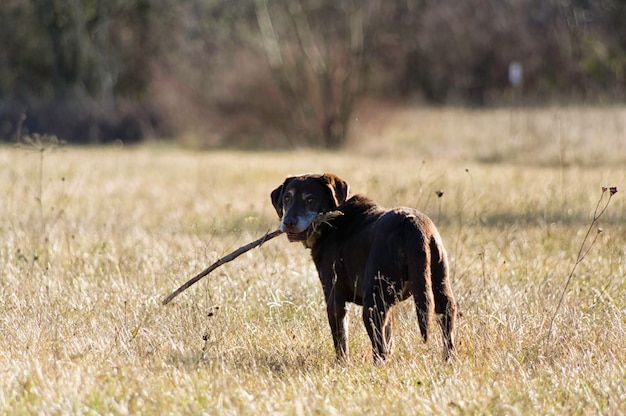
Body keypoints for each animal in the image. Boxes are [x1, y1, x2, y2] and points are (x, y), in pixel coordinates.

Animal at [270, 172, 456, 360]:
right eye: (286, 198)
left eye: (310, 199)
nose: (288, 222)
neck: (333, 222)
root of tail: (413, 227)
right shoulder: (390, 306)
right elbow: (389, 336)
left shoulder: (334, 299)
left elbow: (341, 341)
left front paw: (342, 364)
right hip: (440, 291)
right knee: (447, 329)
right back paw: (448, 360)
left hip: (373, 303)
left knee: (379, 348)